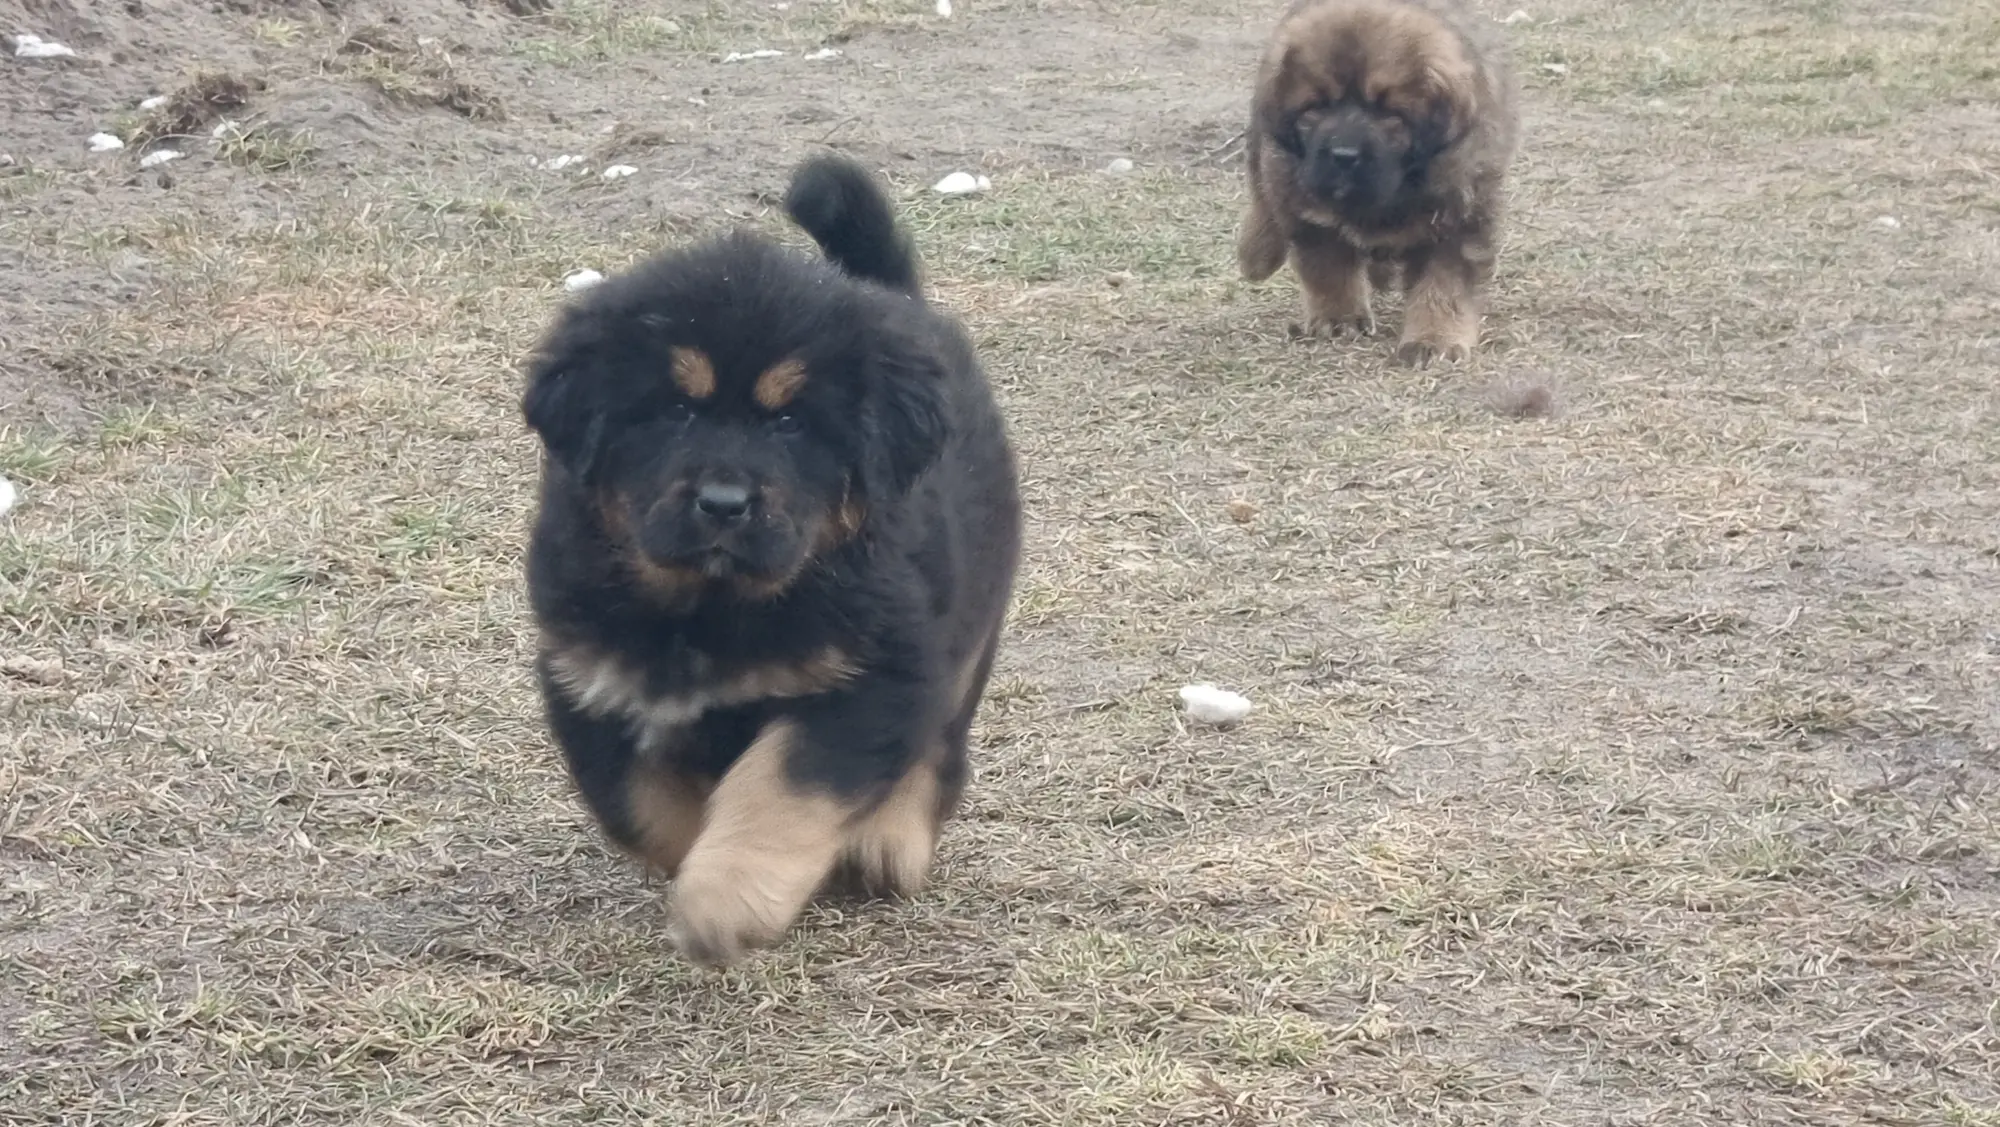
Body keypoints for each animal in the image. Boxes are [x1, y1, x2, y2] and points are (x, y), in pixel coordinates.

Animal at [519, 154, 1022, 967]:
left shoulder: (869, 674)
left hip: (970, 613)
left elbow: (780, 787)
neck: (709, 607)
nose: (725, 503)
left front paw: (726, 900)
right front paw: (693, 864)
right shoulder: (591, 677)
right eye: (676, 409)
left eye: (790, 422)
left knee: (940, 741)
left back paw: (888, 841)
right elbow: (638, 805)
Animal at [1237, 0, 1521, 366]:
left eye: (1390, 114)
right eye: (1316, 108)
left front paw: (1434, 337)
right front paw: (1338, 317)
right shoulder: (1308, 208)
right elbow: (1328, 267)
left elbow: (1443, 285)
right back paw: (1256, 252)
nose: (1344, 155)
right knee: (1261, 188)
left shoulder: (1459, 218)